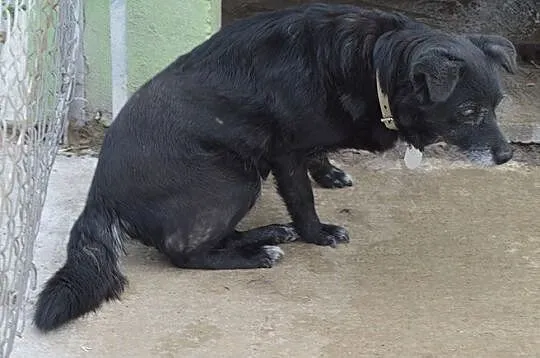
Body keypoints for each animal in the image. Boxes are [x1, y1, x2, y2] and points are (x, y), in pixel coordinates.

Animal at [35, 4, 516, 332]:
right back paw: (259, 254)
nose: (507, 156)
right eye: (469, 112)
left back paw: (267, 235)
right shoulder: (285, 154)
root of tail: (100, 197)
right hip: (236, 178)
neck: (375, 63)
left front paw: (329, 172)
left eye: (497, 105)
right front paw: (318, 234)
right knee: (183, 250)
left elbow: (318, 160)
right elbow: (303, 200)